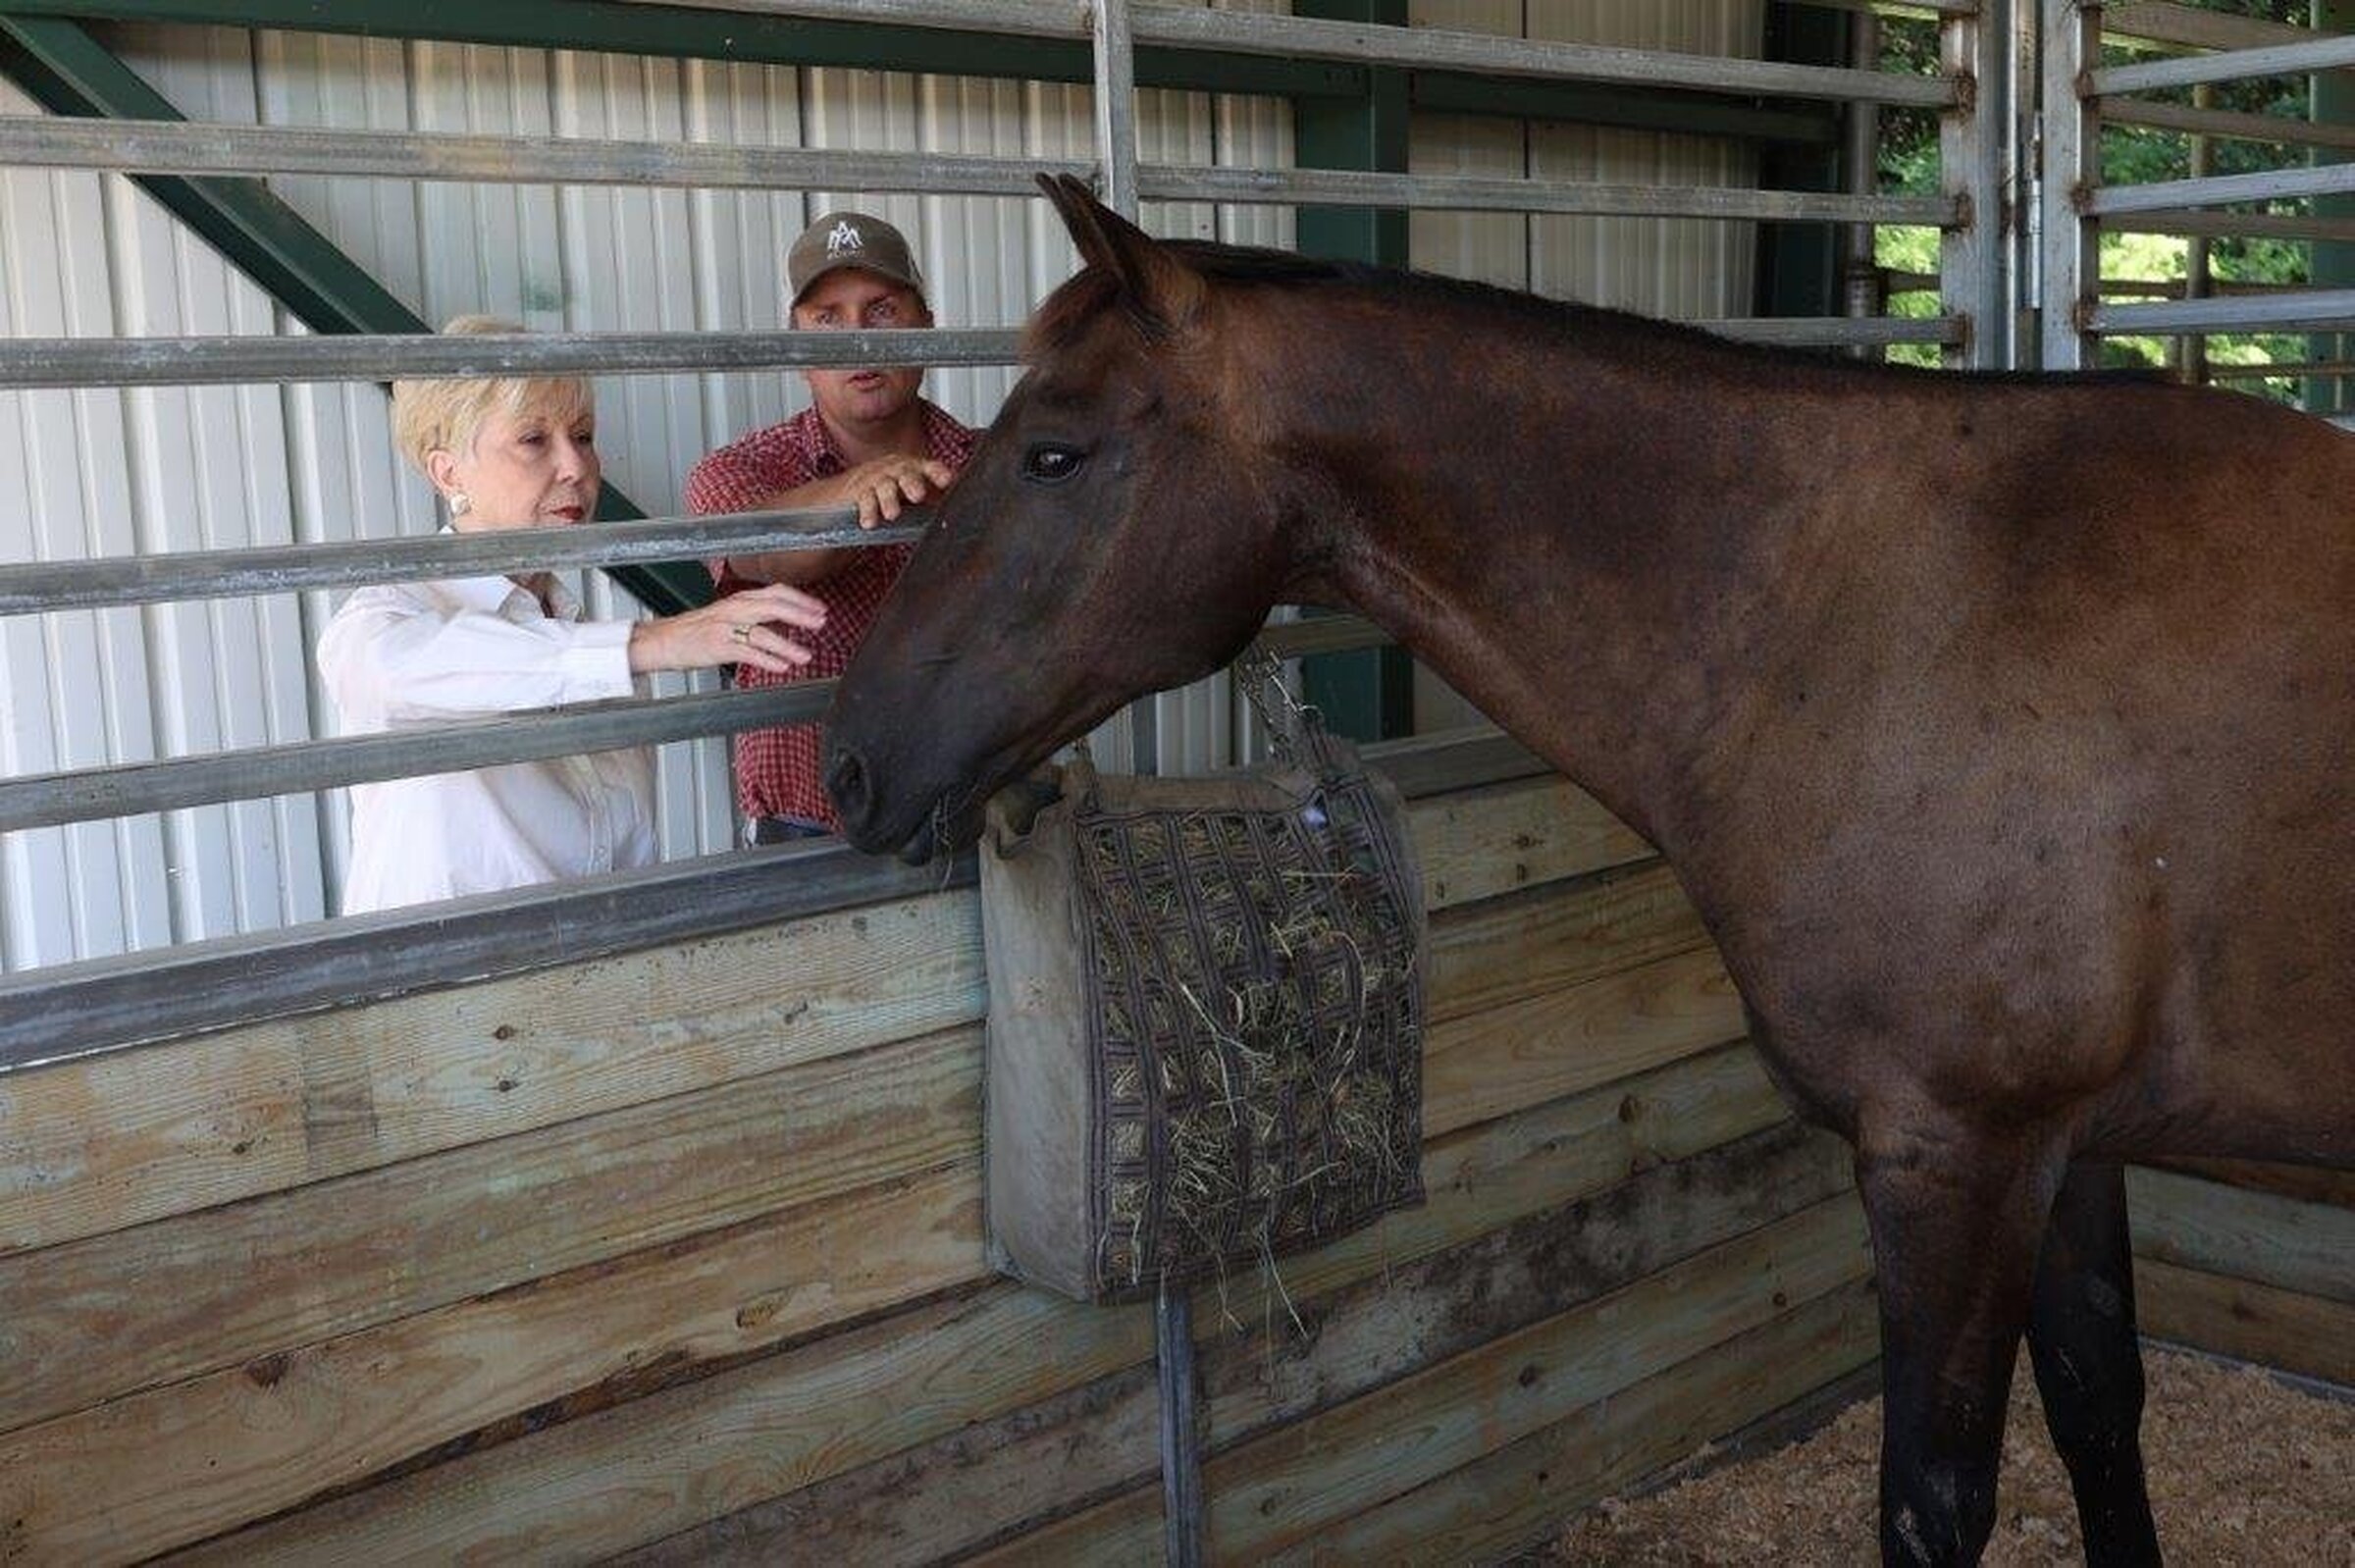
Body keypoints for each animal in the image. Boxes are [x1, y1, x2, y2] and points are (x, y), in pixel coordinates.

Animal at [823, 172, 2355, 1565]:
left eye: (1055, 455)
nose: (850, 761)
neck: (1877, 615)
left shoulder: (1955, 1156)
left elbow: (1933, 1507)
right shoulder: (2068, 1143)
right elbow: (2099, 1409)